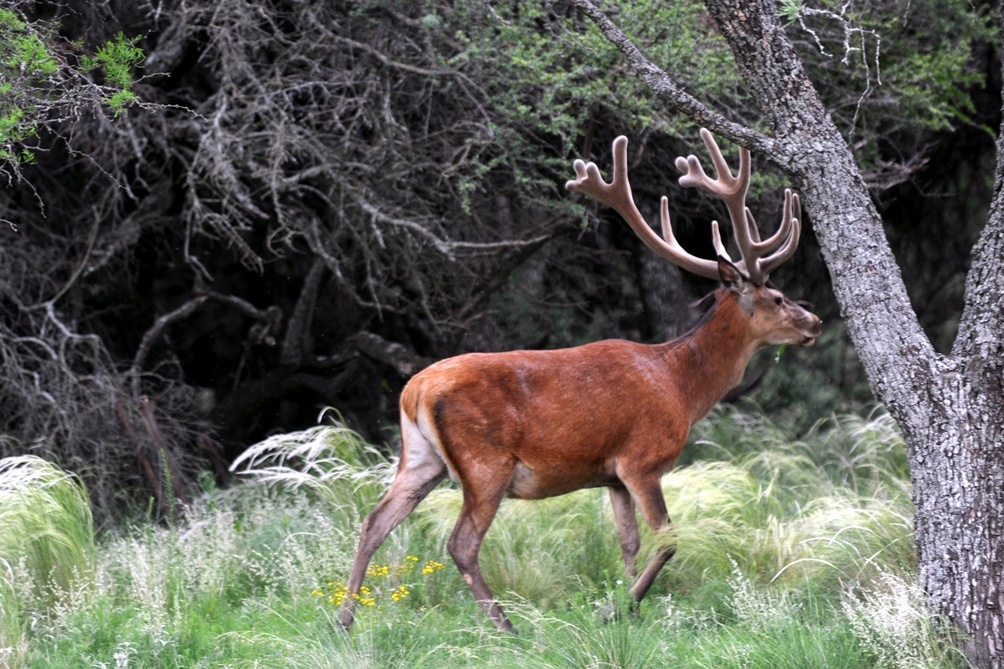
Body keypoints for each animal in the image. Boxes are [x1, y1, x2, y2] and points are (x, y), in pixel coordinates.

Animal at [337, 128, 823, 630]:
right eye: (779, 297)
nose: (816, 322)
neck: (681, 386)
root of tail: (413, 392)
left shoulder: (611, 475)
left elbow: (628, 542)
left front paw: (627, 605)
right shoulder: (642, 460)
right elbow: (668, 538)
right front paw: (618, 607)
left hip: (419, 456)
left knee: (375, 521)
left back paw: (345, 619)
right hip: (485, 462)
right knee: (461, 543)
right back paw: (505, 626)